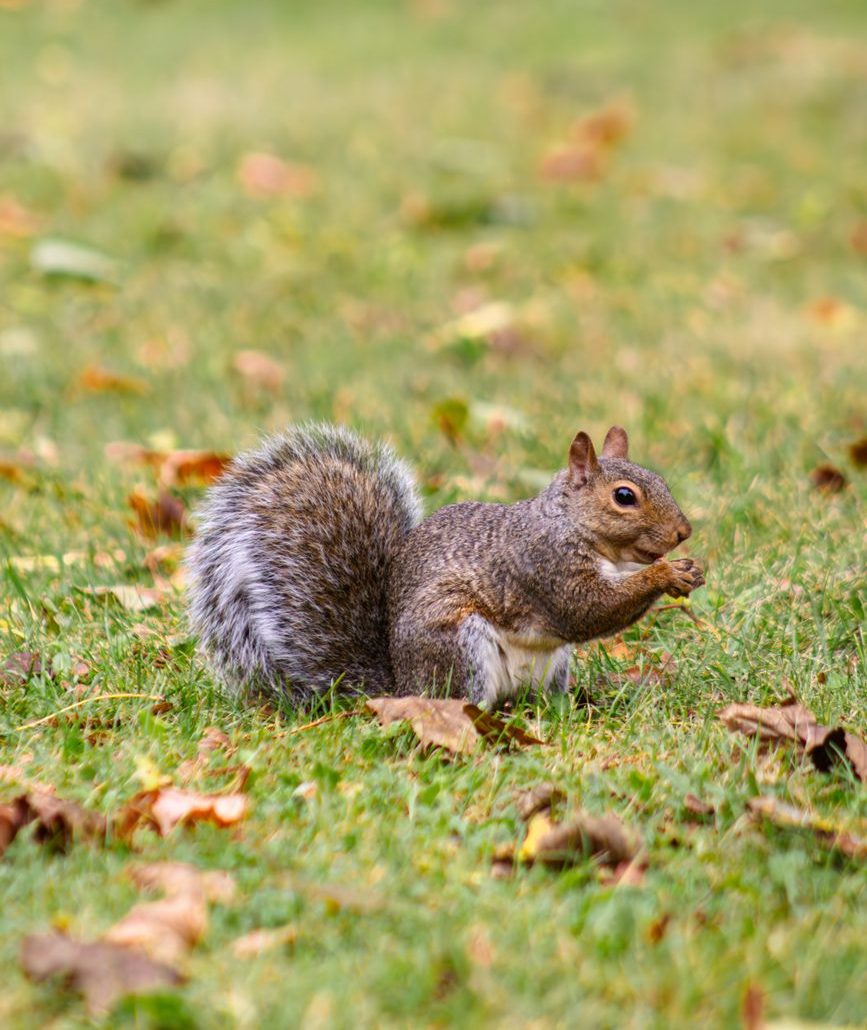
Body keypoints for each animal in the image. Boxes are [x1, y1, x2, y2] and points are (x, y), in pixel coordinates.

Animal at [187, 422, 704, 708]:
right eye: (624, 497)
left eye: (660, 480)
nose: (683, 532)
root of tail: (401, 686)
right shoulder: (543, 565)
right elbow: (586, 610)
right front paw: (666, 574)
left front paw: (686, 572)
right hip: (458, 644)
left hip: (550, 664)